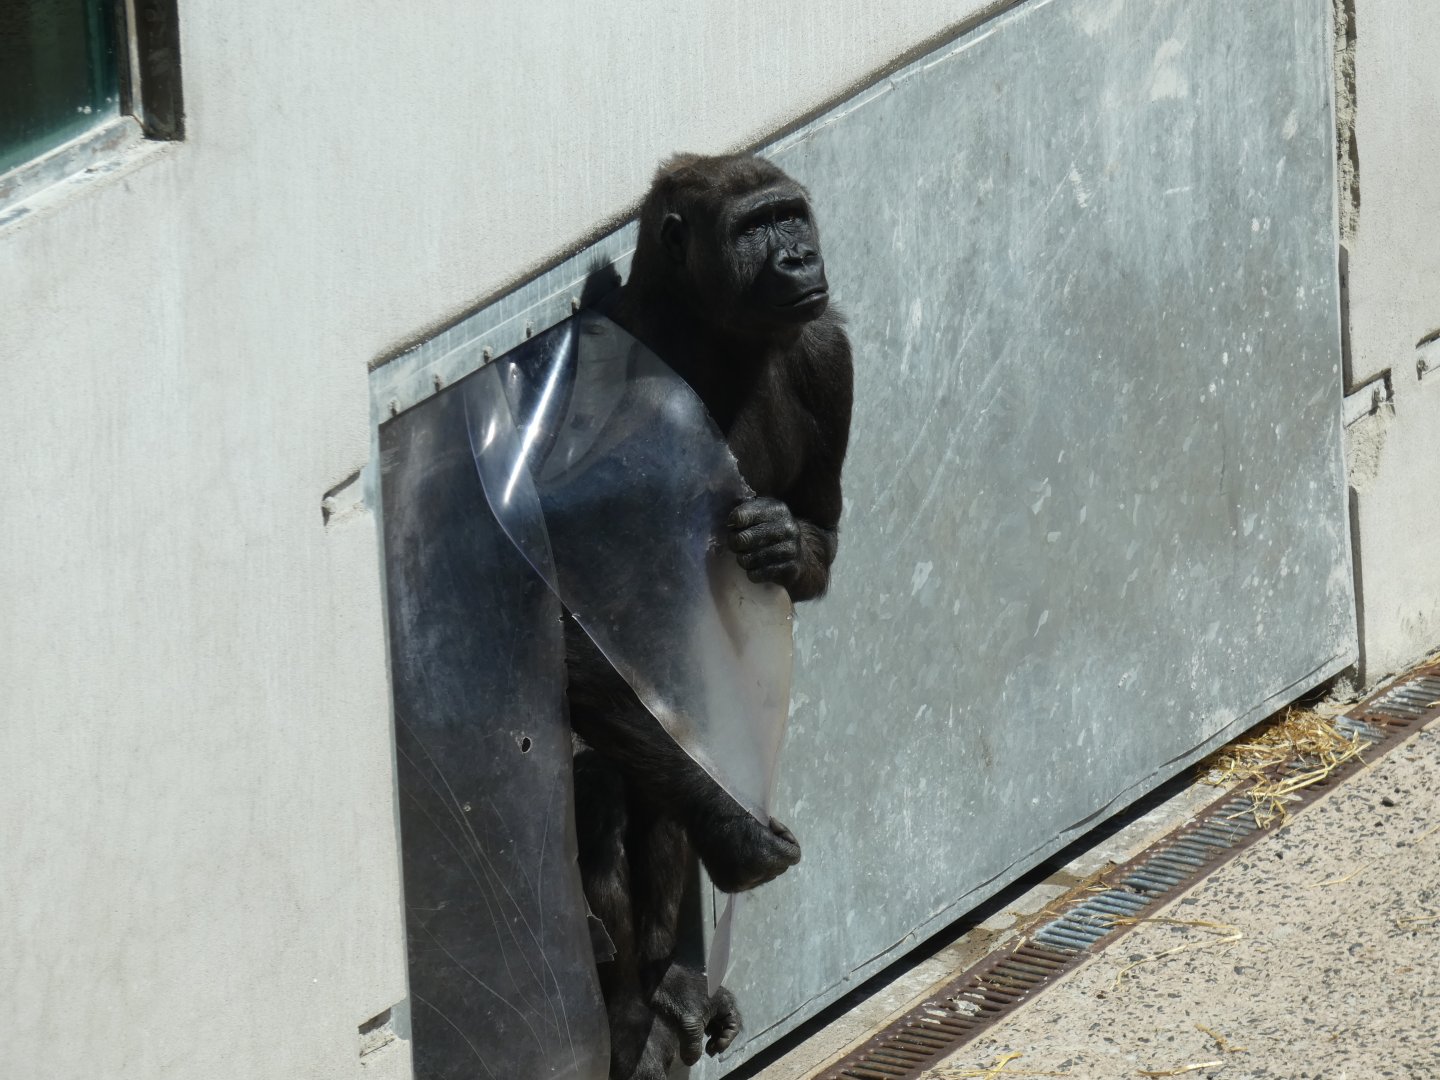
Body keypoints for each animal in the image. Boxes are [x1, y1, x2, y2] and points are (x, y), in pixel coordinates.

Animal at [567, 152, 853, 1080]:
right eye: (754, 228)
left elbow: (821, 526)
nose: (799, 258)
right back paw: (642, 1011)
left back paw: (669, 997)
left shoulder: (829, 351)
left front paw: (782, 542)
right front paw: (735, 834)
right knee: (606, 776)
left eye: (791, 216)